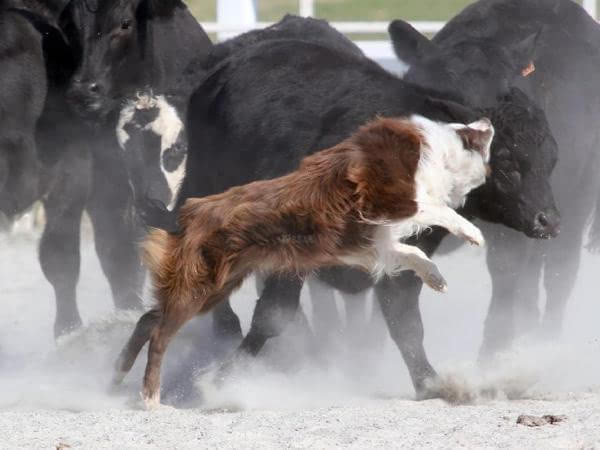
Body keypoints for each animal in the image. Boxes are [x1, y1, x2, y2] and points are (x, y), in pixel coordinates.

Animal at [137, 37, 556, 400]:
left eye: (550, 157)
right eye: (506, 165)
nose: (549, 221)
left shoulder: (405, 258)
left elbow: (405, 322)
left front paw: (431, 383)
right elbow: (273, 315)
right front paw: (223, 379)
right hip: (204, 185)